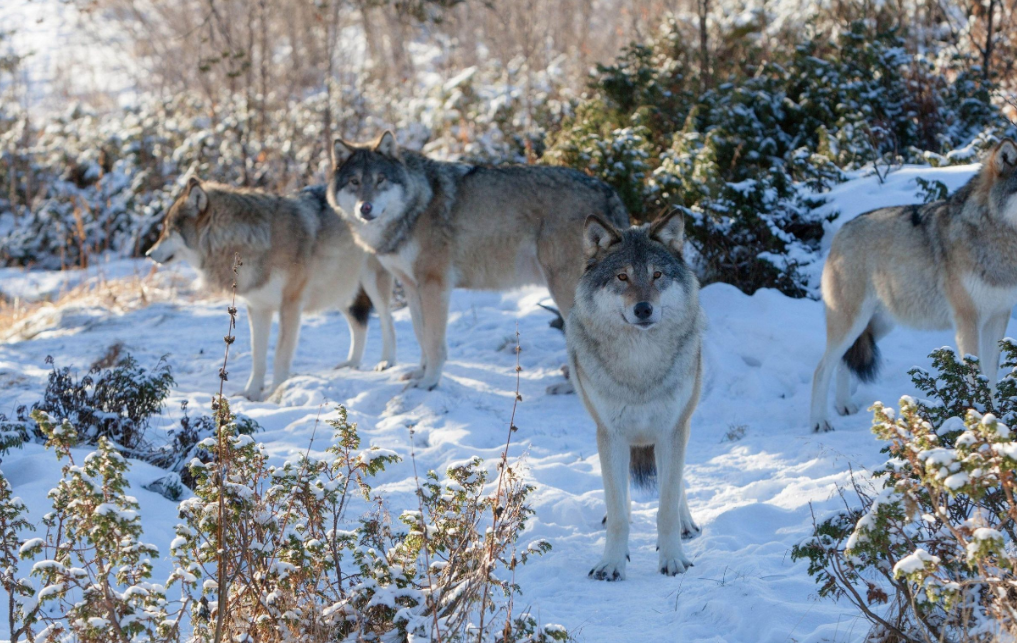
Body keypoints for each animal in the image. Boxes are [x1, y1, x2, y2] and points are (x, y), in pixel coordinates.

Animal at [147, 178, 396, 398]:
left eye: (168, 229)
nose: (148, 253)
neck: (255, 240)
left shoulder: (291, 305)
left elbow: (279, 355)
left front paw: (276, 391)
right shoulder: (257, 307)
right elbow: (258, 356)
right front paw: (251, 393)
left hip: (372, 281)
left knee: (387, 319)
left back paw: (387, 362)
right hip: (340, 290)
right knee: (359, 324)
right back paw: (351, 364)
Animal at [325, 130, 626, 388]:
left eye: (380, 180)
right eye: (354, 182)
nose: (365, 208)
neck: (416, 206)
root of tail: (608, 189)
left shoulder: (435, 285)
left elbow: (433, 342)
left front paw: (429, 383)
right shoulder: (412, 287)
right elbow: (421, 335)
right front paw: (419, 373)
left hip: (562, 288)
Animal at [569, 212, 703, 581]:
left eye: (657, 275)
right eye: (622, 276)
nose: (643, 309)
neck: (639, 366)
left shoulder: (672, 430)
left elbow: (666, 507)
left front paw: (674, 559)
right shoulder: (610, 434)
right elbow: (617, 512)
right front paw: (611, 563)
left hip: (684, 422)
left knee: (677, 484)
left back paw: (687, 523)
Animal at [813, 140, 1016, 431]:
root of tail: (841, 230)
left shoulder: (998, 317)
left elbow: (991, 376)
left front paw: (994, 420)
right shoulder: (968, 320)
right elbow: (975, 377)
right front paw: (977, 419)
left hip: (877, 326)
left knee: (844, 362)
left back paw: (844, 406)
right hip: (851, 323)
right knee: (821, 369)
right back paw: (819, 422)